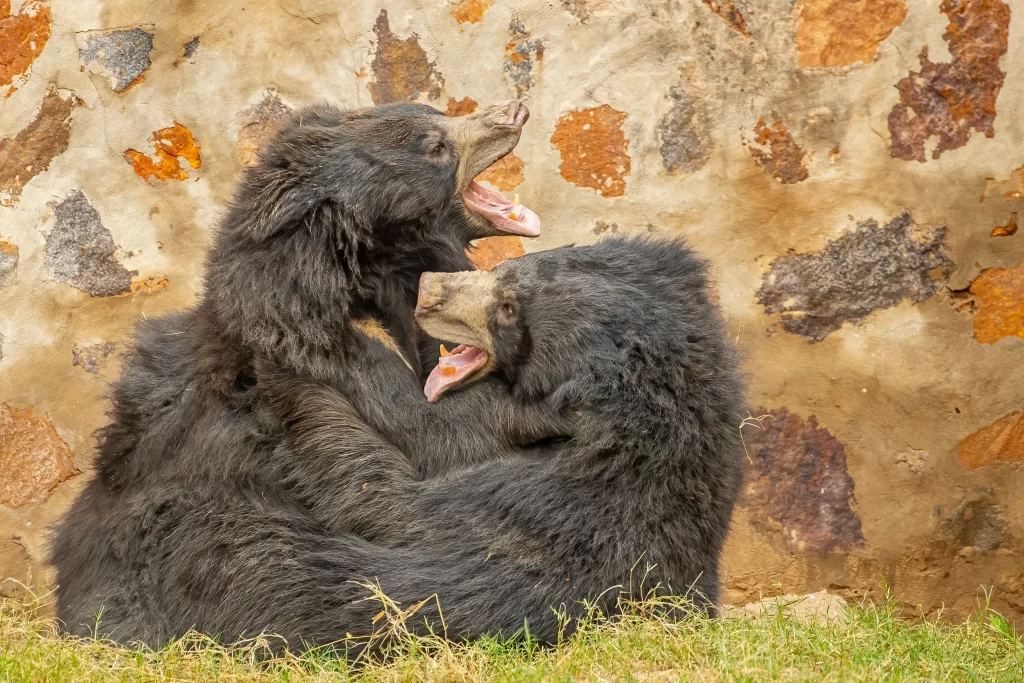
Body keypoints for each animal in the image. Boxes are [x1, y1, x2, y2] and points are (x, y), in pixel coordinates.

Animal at [49, 99, 553, 651]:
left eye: (435, 112)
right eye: (436, 146)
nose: (514, 110)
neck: (367, 274)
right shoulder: (321, 349)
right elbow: (440, 434)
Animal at [263, 235, 746, 646]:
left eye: (508, 309)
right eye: (504, 267)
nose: (427, 288)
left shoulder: (544, 504)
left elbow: (404, 477)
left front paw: (314, 347)